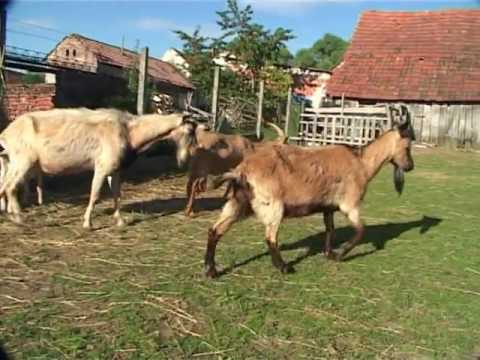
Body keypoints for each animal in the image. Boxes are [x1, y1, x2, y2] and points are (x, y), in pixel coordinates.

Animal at [0, 108, 197, 229]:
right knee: (10, 187)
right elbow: (94, 195)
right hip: (23, 160)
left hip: (15, 162)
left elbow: (117, 195)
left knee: (4, 186)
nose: (185, 159)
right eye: (189, 131)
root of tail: (6, 133)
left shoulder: (115, 169)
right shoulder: (102, 166)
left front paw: (120, 221)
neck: (129, 131)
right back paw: (19, 218)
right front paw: (87, 223)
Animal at [204, 119, 414, 278]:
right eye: (407, 146)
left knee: (215, 230)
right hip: (272, 205)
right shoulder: (350, 204)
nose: (410, 166)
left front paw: (329, 253)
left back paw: (210, 270)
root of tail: (241, 171)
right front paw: (339, 255)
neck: (362, 163)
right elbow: (361, 231)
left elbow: (330, 229)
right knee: (270, 237)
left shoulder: (328, 207)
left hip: (239, 202)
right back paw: (284, 267)